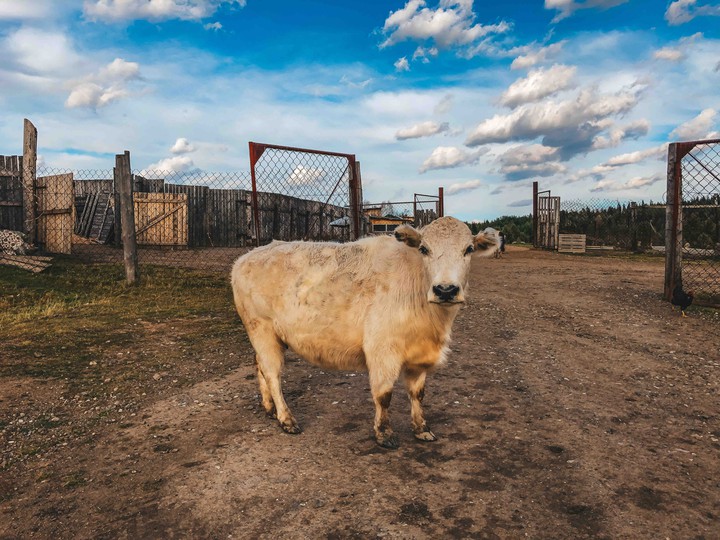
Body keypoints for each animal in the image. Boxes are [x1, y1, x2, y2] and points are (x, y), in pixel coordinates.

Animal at [230, 216, 498, 448]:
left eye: (468, 249)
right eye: (424, 249)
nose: (445, 290)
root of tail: (247, 257)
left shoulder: (419, 355)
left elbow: (418, 394)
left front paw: (422, 428)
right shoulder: (382, 350)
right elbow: (384, 395)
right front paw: (384, 433)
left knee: (260, 366)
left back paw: (269, 407)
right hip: (261, 329)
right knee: (272, 373)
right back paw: (286, 418)